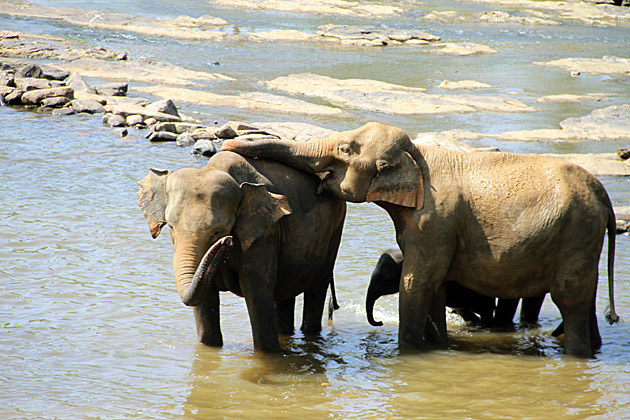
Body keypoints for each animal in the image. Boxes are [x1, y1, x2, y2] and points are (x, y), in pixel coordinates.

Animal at [137, 151, 350, 352]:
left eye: (218, 231)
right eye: (172, 227)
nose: (227, 241)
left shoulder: (265, 235)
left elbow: (257, 293)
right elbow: (206, 302)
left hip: (334, 232)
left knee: (316, 289)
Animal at [223, 121, 624, 358]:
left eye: (345, 151)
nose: (228, 147)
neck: (417, 154)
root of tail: (604, 198)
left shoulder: (435, 221)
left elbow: (417, 282)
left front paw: (409, 354)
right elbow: (436, 286)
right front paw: (440, 347)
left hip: (576, 233)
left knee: (570, 297)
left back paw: (575, 355)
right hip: (581, 239)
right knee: (584, 296)